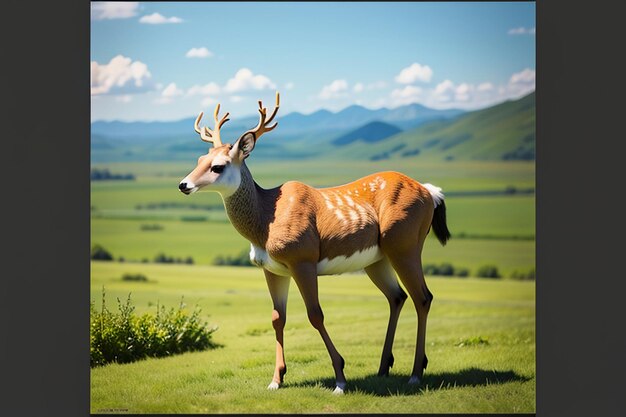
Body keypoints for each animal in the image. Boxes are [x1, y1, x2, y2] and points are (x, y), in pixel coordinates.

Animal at [179, 92, 448, 394]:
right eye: (200, 158)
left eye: (218, 166)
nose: (183, 184)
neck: (265, 221)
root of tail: (431, 193)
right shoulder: (271, 268)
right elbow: (277, 318)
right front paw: (276, 379)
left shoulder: (302, 258)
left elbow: (315, 315)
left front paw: (340, 378)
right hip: (376, 258)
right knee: (397, 296)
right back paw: (383, 367)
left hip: (404, 243)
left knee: (423, 297)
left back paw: (416, 373)